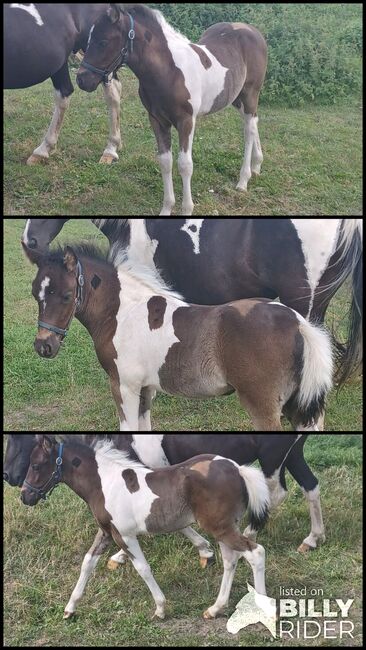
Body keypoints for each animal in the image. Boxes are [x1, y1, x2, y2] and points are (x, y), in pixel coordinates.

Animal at [21, 432, 270, 620]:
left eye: (36, 465)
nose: (25, 496)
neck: (103, 483)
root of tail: (238, 469)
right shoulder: (106, 532)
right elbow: (87, 563)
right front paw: (70, 609)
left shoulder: (124, 536)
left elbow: (142, 568)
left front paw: (160, 608)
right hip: (223, 527)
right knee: (230, 561)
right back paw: (215, 609)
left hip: (220, 527)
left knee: (255, 553)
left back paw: (261, 606)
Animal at [22, 242, 334, 430]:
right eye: (36, 293)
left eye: (65, 295)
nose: (44, 346)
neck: (123, 312)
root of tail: (297, 322)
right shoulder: (146, 388)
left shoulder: (123, 386)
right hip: (298, 402)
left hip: (264, 404)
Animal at [76, 3, 268, 215]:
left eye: (103, 41)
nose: (82, 79)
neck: (169, 72)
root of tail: (253, 30)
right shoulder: (157, 120)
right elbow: (165, 161)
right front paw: (167, 209)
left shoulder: (186, 121)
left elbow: (184, 165)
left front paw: (187, 210)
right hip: (235, 98)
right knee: (254, 123)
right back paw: (257, 165)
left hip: (250, 94)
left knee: (249, 130)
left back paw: (243, 180)